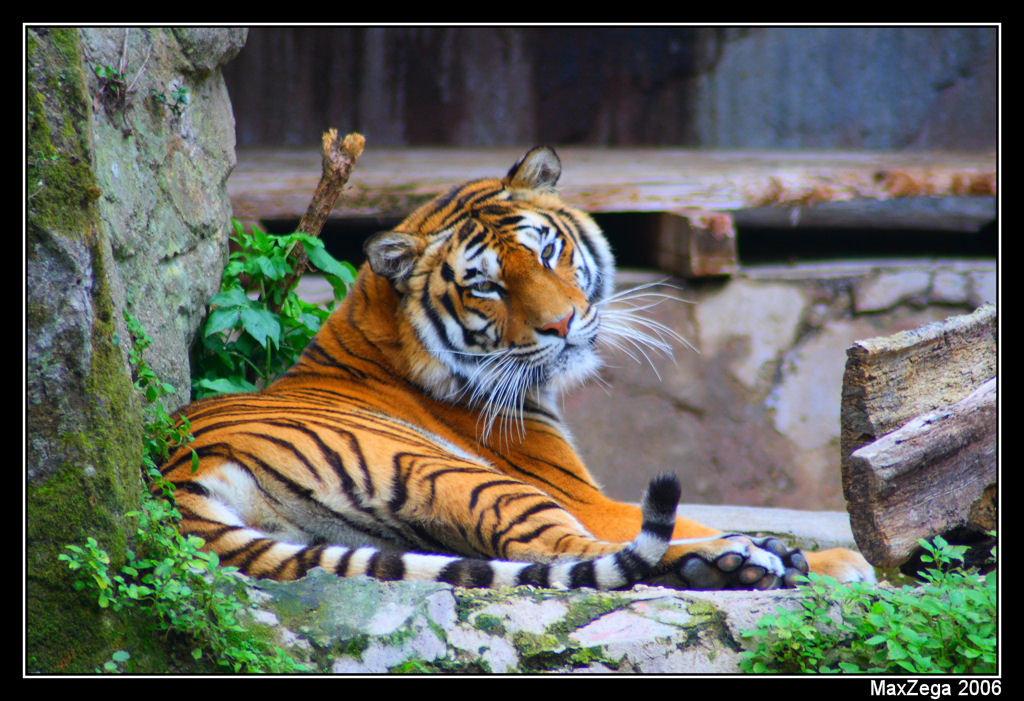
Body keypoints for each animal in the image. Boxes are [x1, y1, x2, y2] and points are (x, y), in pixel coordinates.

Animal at [158, 146, 876, 590]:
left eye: (549, 251)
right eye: (486, 287)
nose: (562, 325)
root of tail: (172, 481)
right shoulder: (579, 492)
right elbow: (667, 519)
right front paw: (836, 557)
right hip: (462, 475)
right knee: (569, 551)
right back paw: (736, 561)